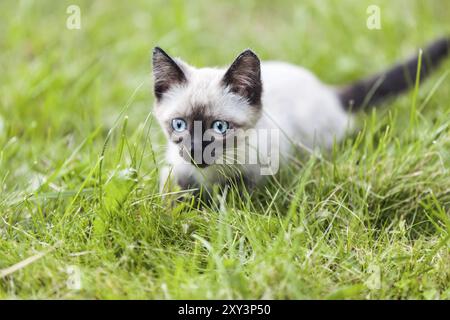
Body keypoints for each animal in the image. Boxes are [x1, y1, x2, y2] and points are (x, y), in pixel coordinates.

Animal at [152, 36, 450, 194]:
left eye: (220, 127)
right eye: (179, 125)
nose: (194, 151)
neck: (211, 174)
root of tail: (325, 89)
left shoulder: (264, 168)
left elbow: (237, 194)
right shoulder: (174, 169)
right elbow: (175, 193)